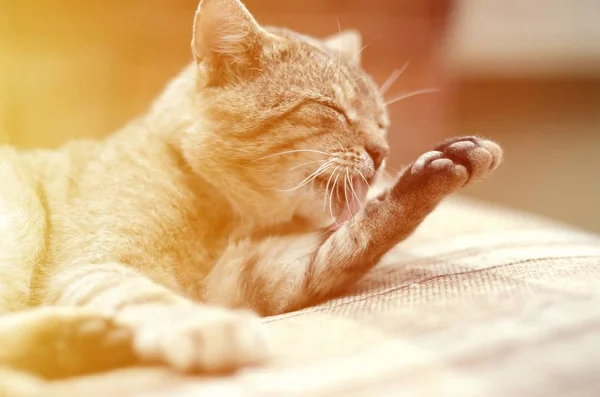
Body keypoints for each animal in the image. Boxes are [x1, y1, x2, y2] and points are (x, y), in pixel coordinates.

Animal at [0, 0, 502, 386]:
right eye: (332, 108)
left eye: (381, 122)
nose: (382, 153)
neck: (225, 214)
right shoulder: (95, 265)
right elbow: (150, 298)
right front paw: (206, 327)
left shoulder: (258, 275)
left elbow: (358, 237)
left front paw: (440, 168)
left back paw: (79, 341)